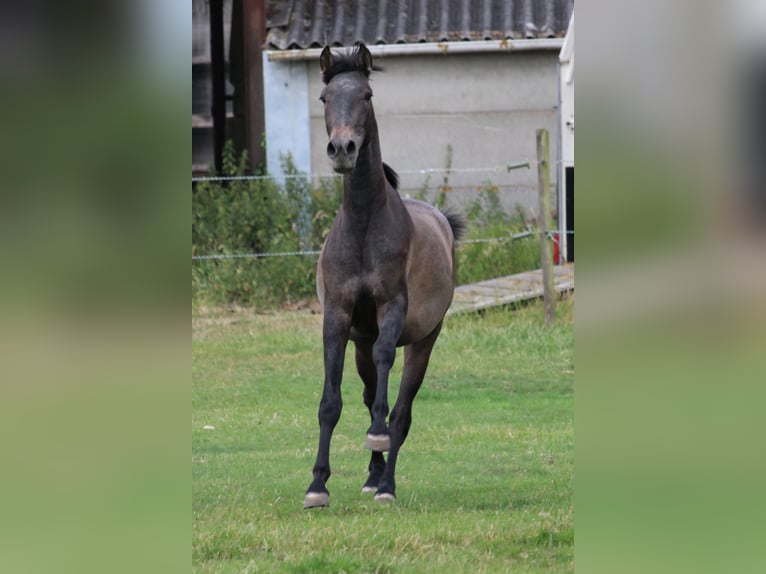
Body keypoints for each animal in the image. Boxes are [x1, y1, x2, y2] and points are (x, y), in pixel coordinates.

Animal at [304, 43, 466, 508]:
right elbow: (331, 402)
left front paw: (376, 441)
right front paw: (317, 486)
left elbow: (386, 394)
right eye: (325, 98)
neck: (363, 225)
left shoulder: (391, 311)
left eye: (367, 95)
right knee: (367, 393)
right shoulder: (338, 318)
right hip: (360, 342)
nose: (343, 148)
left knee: (401, 411)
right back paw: (373, 476)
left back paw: (387, 484)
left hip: (424, 342)